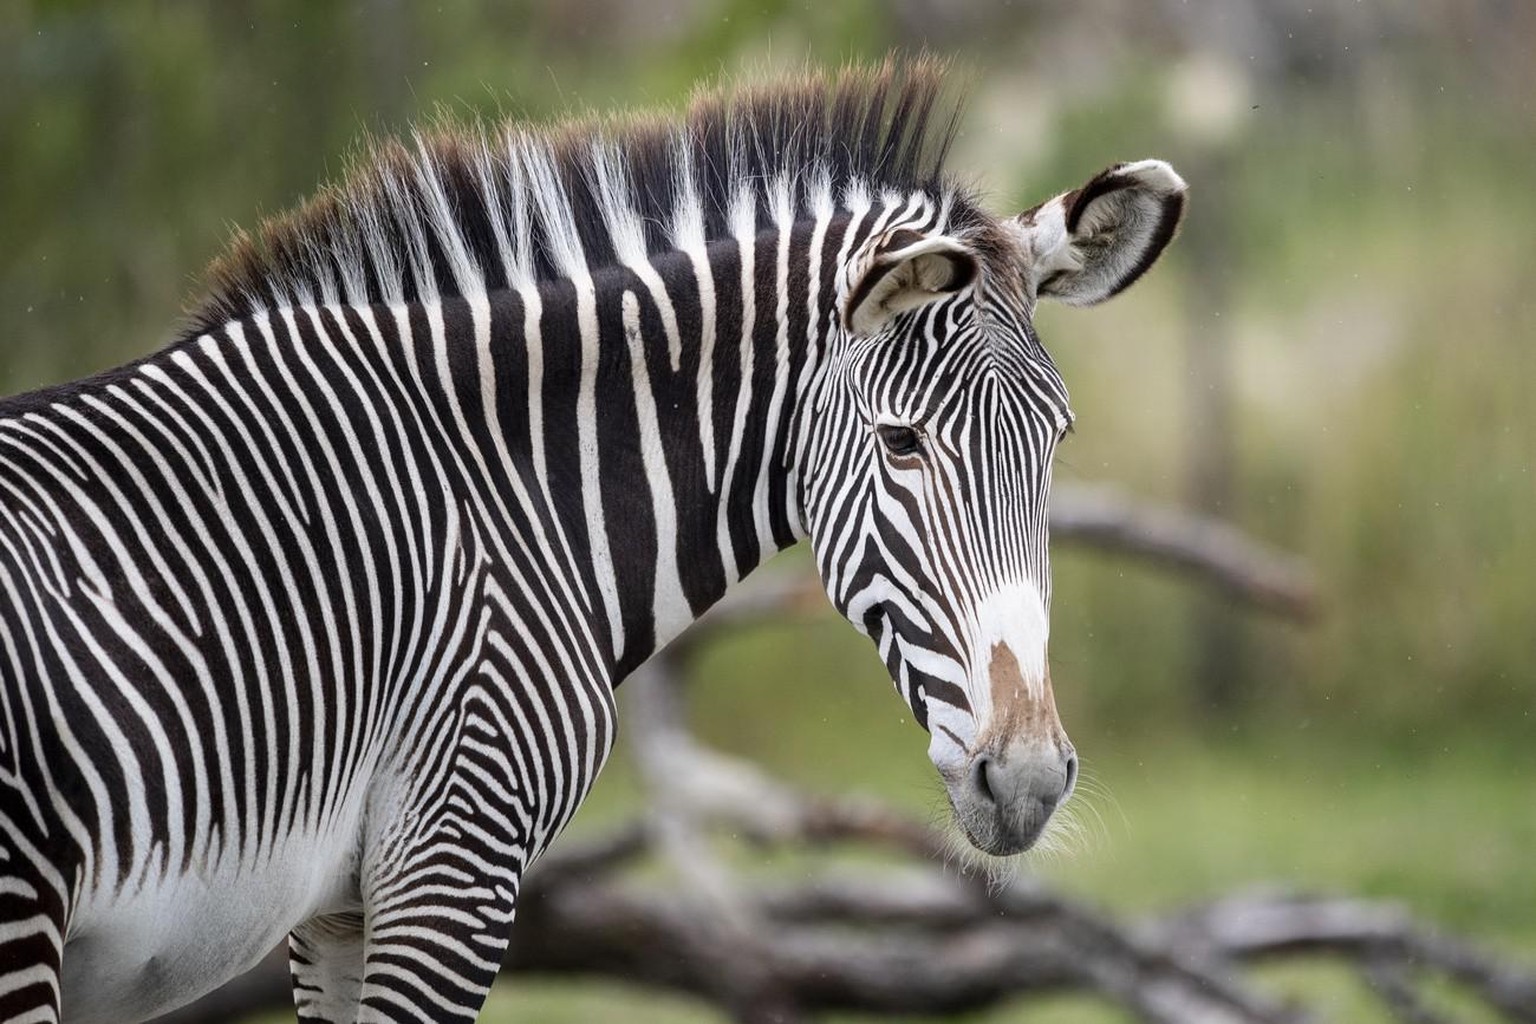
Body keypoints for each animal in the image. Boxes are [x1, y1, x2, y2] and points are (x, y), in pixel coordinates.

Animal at [0, 62, 1185, 1024]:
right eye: (901, 445)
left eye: (1056, 443)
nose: (1026, 781)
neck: (502, 489)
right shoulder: (455, 847)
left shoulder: (338, 907)